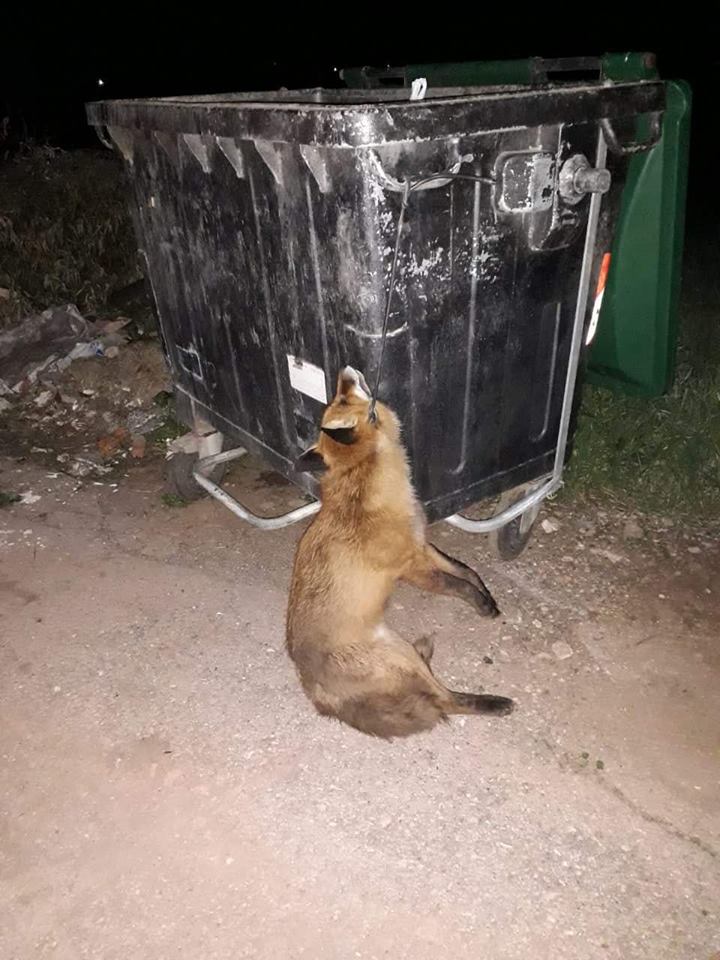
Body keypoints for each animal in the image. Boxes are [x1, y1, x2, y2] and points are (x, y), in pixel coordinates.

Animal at [286, 366, 514, 739]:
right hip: (400, 656)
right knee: (446, 701)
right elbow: (457, 585)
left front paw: (487, 597)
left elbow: (467, 571)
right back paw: (493, 703)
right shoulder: (412, 568)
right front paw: (480, 605)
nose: (344, 369)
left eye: (338, 399)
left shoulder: (422, 544)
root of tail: (316, 692)